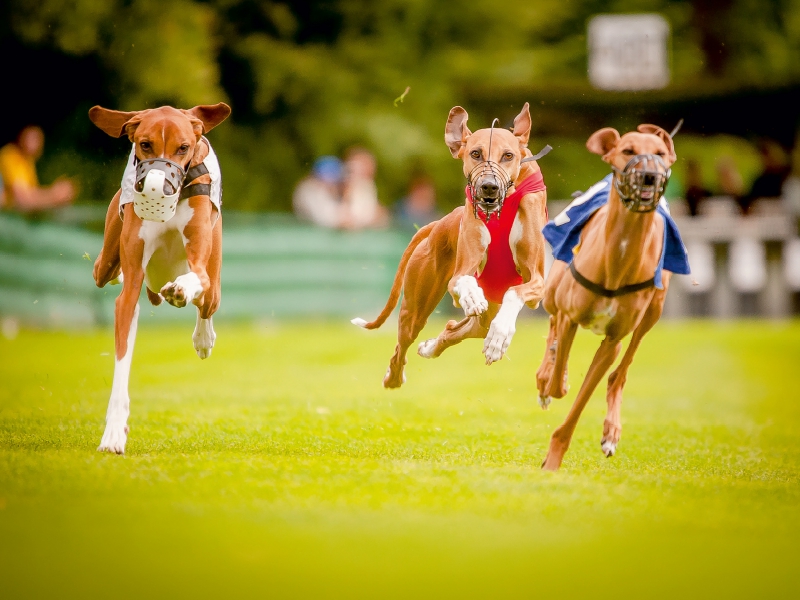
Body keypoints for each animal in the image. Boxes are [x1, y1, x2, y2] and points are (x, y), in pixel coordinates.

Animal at [88, 103, 230, 452]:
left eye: (183, 147)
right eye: (144, 144)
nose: (159, 187)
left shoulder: (201, 266)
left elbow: (196, 279)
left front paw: (180, 291)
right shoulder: (128, 294)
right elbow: (121, 362)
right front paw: (114, 432)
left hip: (215, 282)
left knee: (207, 303)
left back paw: (203, 337)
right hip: (107, 259)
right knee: (104, 270)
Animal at [354, 103, 552, 390]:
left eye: (508, 155)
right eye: (475, 153)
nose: (489, 186)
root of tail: (438, 224)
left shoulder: (536, 281)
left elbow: (514, 294)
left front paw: (500, 337)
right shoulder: (463, 271)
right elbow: (463, 281)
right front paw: (471, 297)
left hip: (484, 315)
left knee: (463, 328)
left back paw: (436, 346)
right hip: (416, 307)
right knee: (404, 344)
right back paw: (395, 376)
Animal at [536, 123, 692, 468]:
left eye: (661, 153)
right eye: (628, 150)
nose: (649, 176)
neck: (619, 255)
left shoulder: (613, 341)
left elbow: (585, 394)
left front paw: (554, 456)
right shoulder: (571, 316)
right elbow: (559, 381)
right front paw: (552, 379)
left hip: (653, 312)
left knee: (619, 374)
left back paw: (611, 430)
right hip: (553, 292)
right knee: (553, 322)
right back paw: (546, 371)